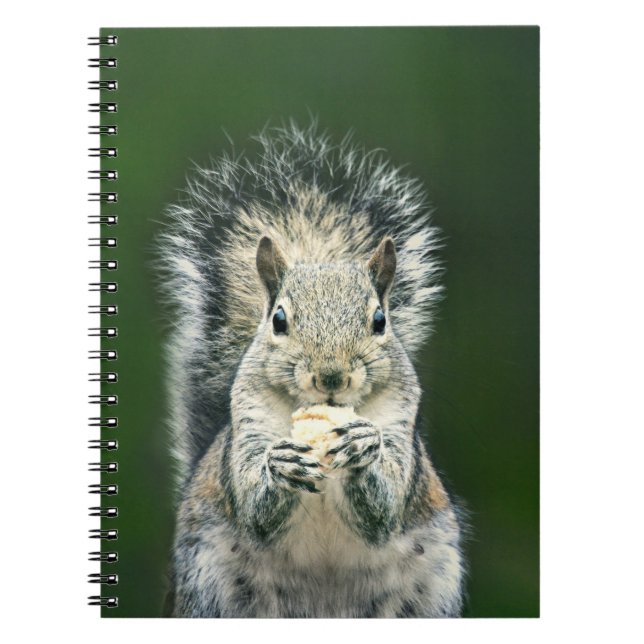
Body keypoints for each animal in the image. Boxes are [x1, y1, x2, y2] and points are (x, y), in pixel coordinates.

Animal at [158, 122, 464, 618]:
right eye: (279, 320)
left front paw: (363, 444)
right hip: (211, 590)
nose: (331, 377)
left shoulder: (400, 418)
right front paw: (279, 465)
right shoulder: (248, 420)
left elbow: (385, 508)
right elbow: (254, 508)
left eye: (380, 320)